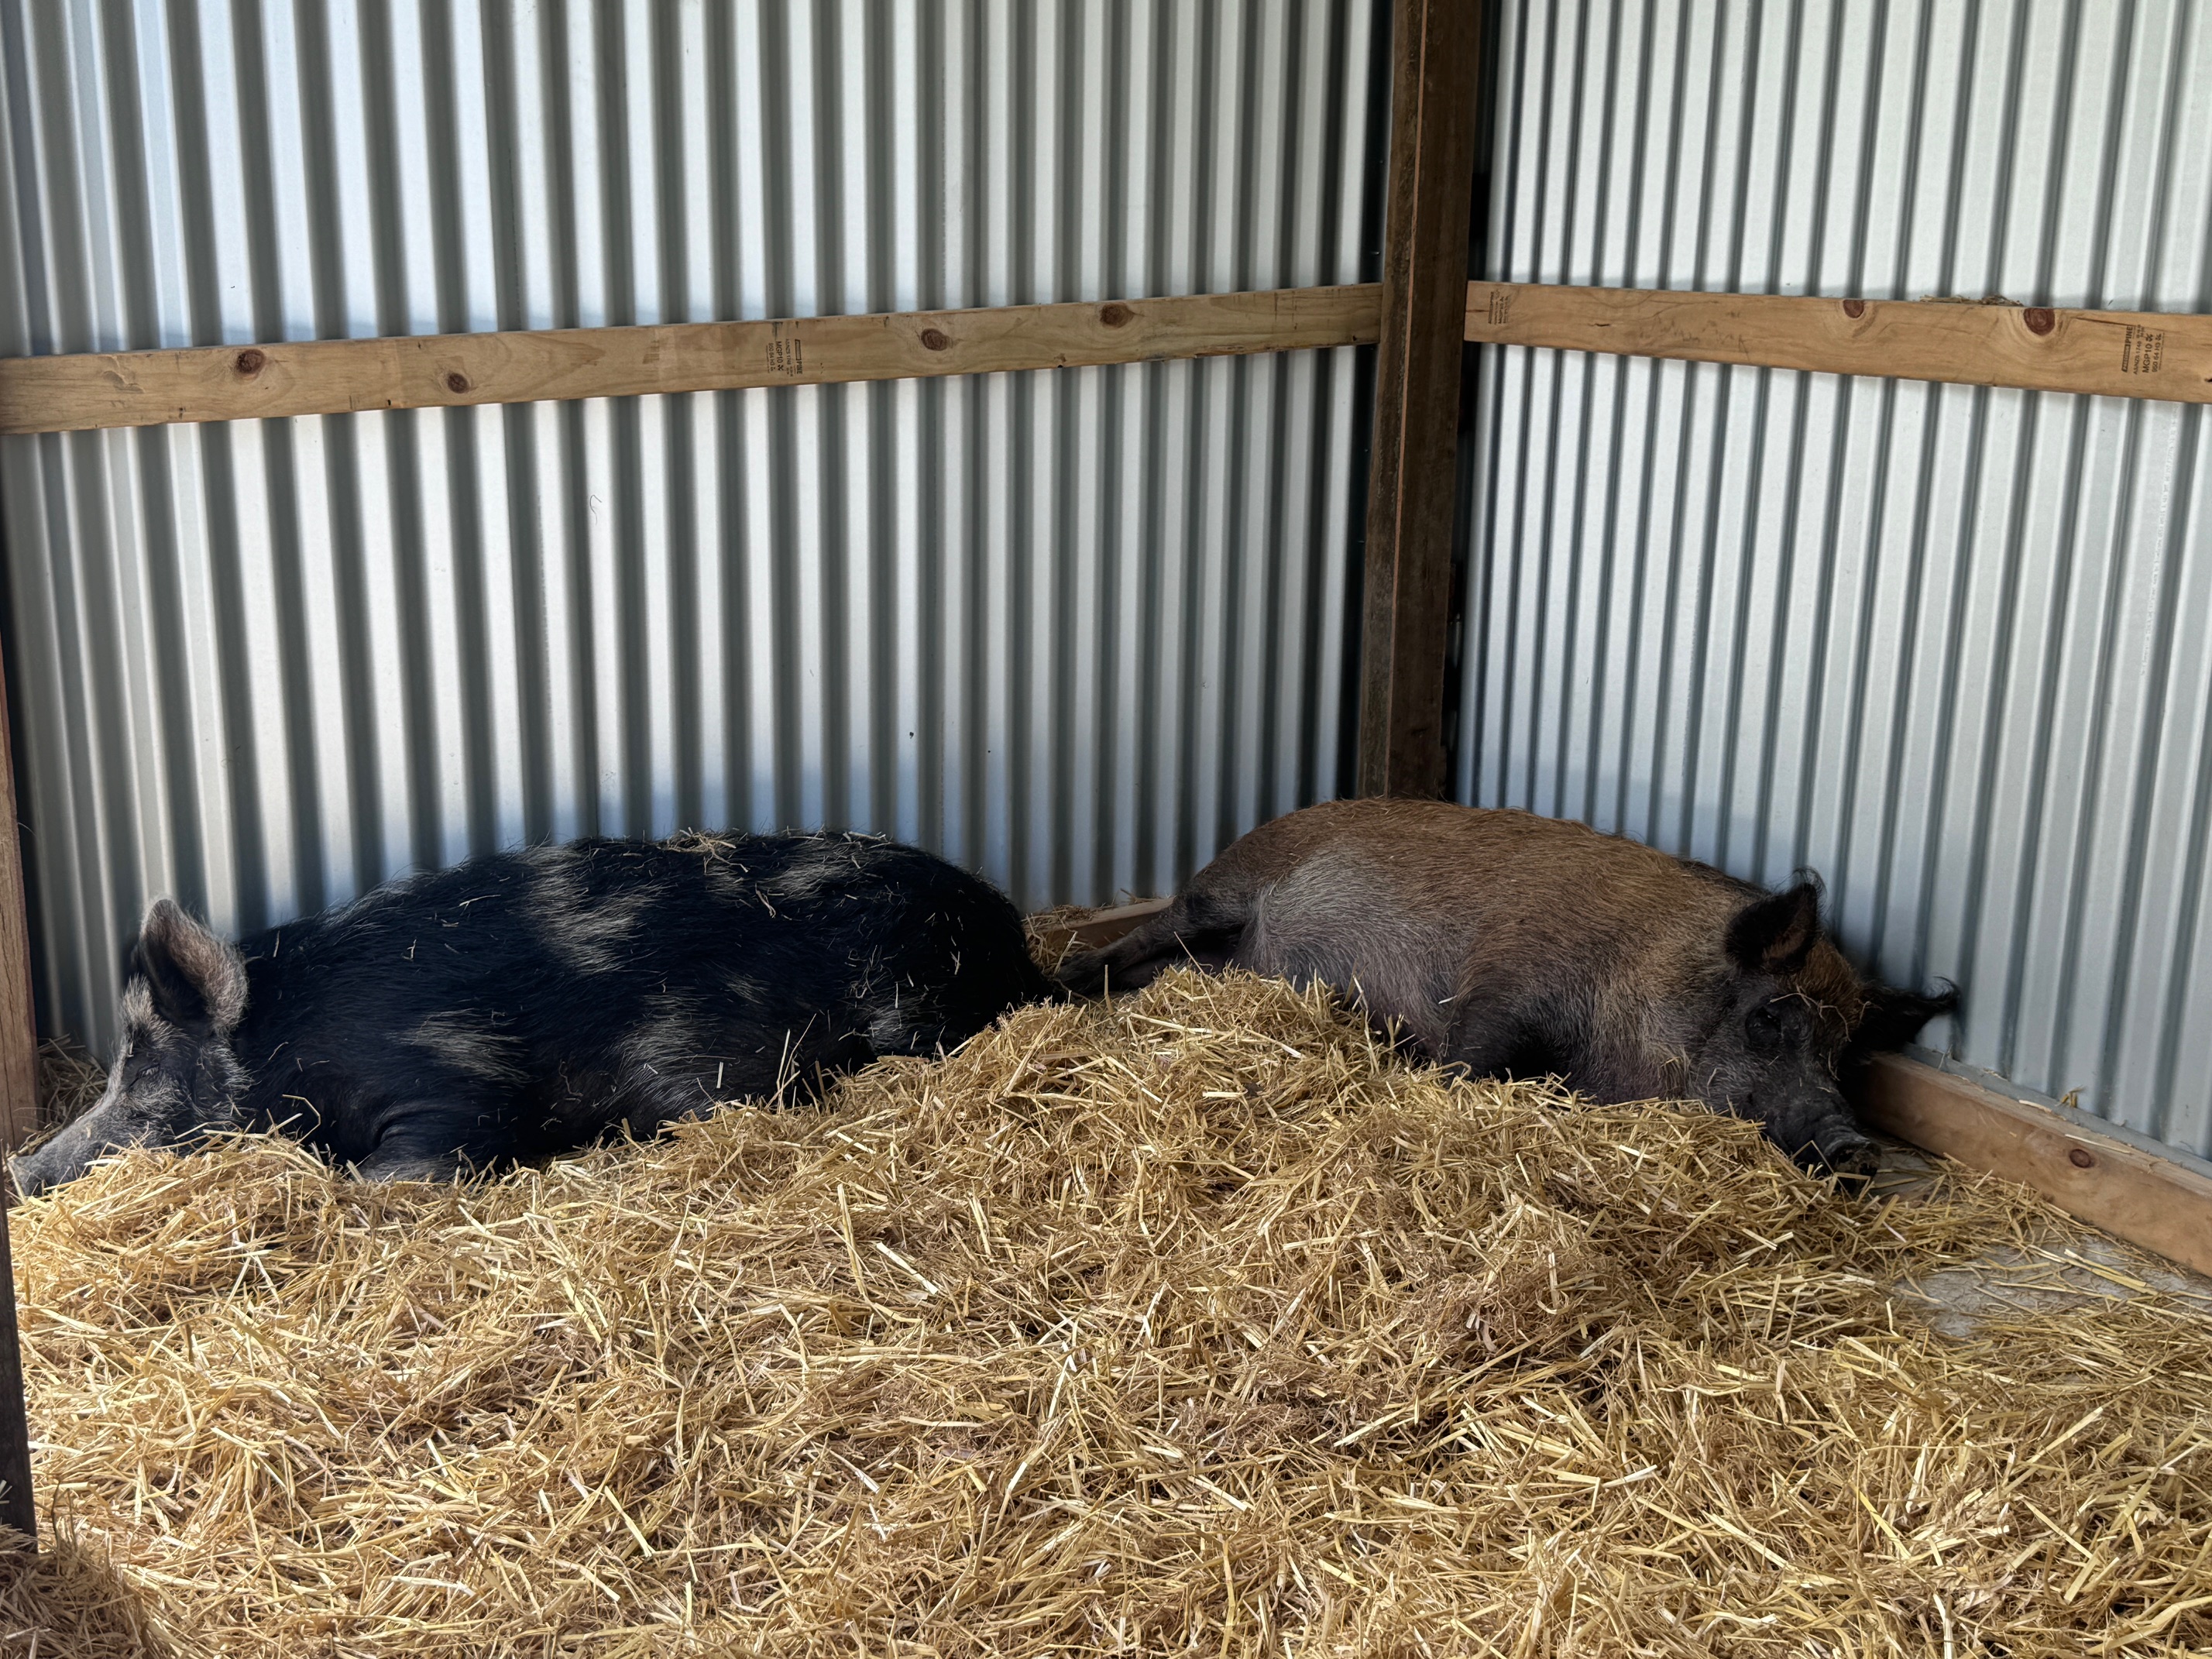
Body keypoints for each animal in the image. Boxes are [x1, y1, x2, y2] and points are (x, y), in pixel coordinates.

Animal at [11, 831, 1055, 1196]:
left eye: (142, 1070)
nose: (20, 1170)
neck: (301, 1043)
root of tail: (1015, 938)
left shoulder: (452, 1083)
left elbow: (412, 1169)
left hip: (909, 1002)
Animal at [1056, 799, 1955, 1178]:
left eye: (1846, 1048)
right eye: (1772, 1015)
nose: (1856, 1145)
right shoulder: (1503, 984)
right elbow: (1467, 1065)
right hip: (1221, 892)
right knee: (1153, 932)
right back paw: (1065, 982)